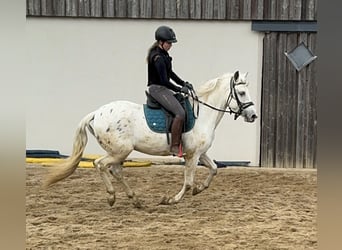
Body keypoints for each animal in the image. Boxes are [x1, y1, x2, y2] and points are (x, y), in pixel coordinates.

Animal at [43, 70, 256, 207]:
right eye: (242, 92)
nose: (253, 116)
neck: (202, 114)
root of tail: (97, 113)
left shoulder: (200, 153)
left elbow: (213, 169)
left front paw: (199, 189)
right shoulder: (192, 155)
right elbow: (188, 182)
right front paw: (171, 200)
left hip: (118, 152)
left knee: (115, 171)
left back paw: (135, 199)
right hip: (120, 151)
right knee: (100, 164)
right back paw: (112, 197)